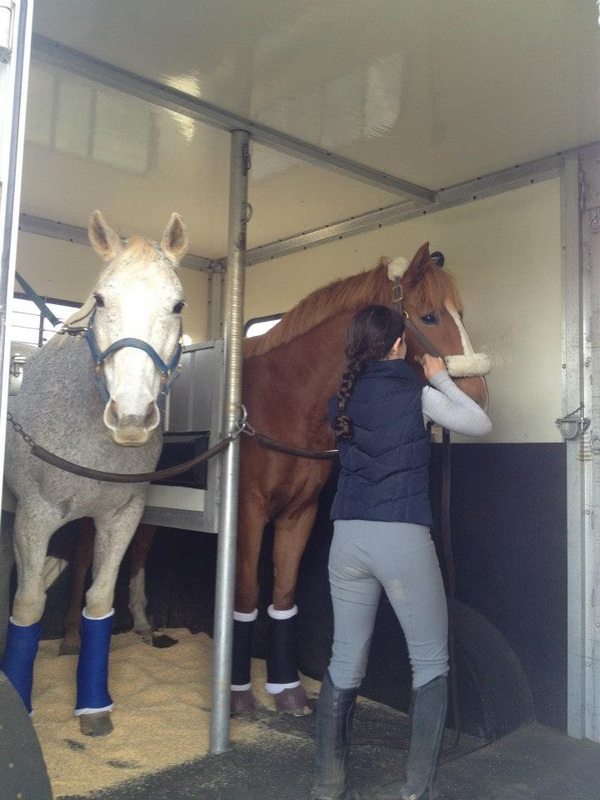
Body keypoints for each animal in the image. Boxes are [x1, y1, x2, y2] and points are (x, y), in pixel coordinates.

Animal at [0, 210, 188, 737]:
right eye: (101, 299)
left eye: (177, 304)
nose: (131, 417)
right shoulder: (34, 517)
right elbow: (26, 605)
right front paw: (20, 707)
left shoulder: (121, 517)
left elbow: (101, 601)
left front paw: (94, 707)